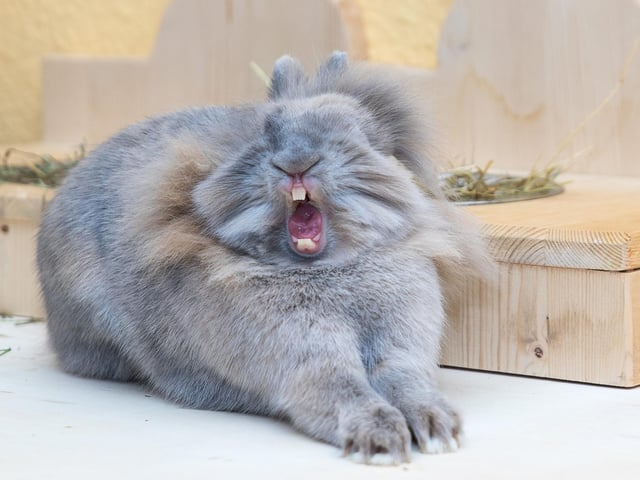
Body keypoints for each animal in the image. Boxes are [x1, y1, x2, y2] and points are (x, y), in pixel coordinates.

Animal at [37, 52, 489, 464]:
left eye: (355, 132)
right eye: (266, 131)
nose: (296, 163)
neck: (326, 267)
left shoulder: (401, 340)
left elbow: (404, 378)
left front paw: (438, 430)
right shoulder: (305, 356)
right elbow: (338, 384)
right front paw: (380, 441)